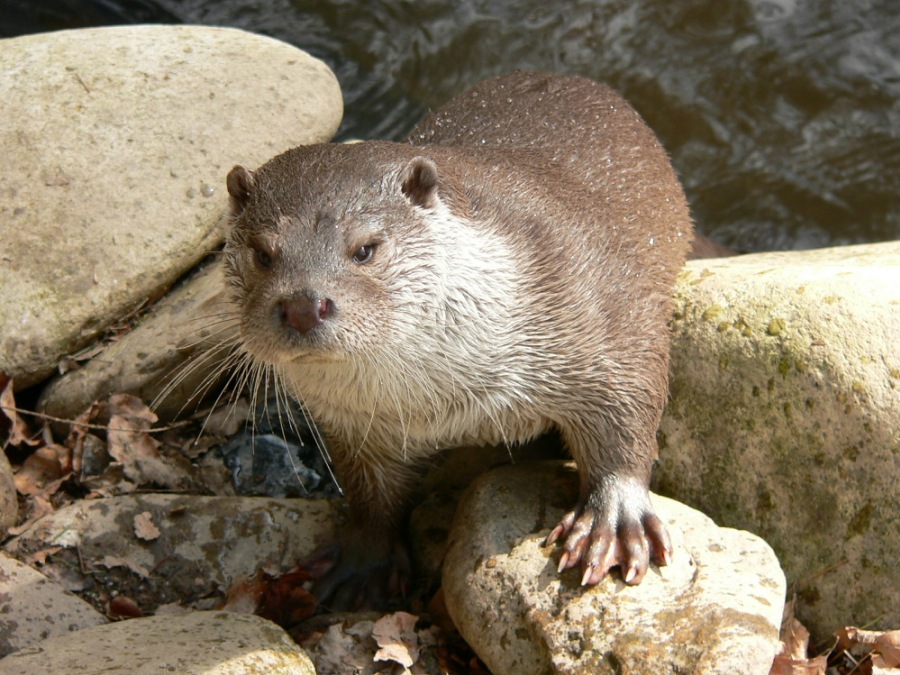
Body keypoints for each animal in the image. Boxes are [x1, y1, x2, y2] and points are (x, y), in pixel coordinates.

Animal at [224, 71, 695, 608]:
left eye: (365, 249)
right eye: (262, 253)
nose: (302, 305)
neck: (447, 403)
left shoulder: (602, 309)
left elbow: (627, 410)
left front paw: (613, 517)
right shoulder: (356, 423)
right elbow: (368, 492)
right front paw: (364, 561)